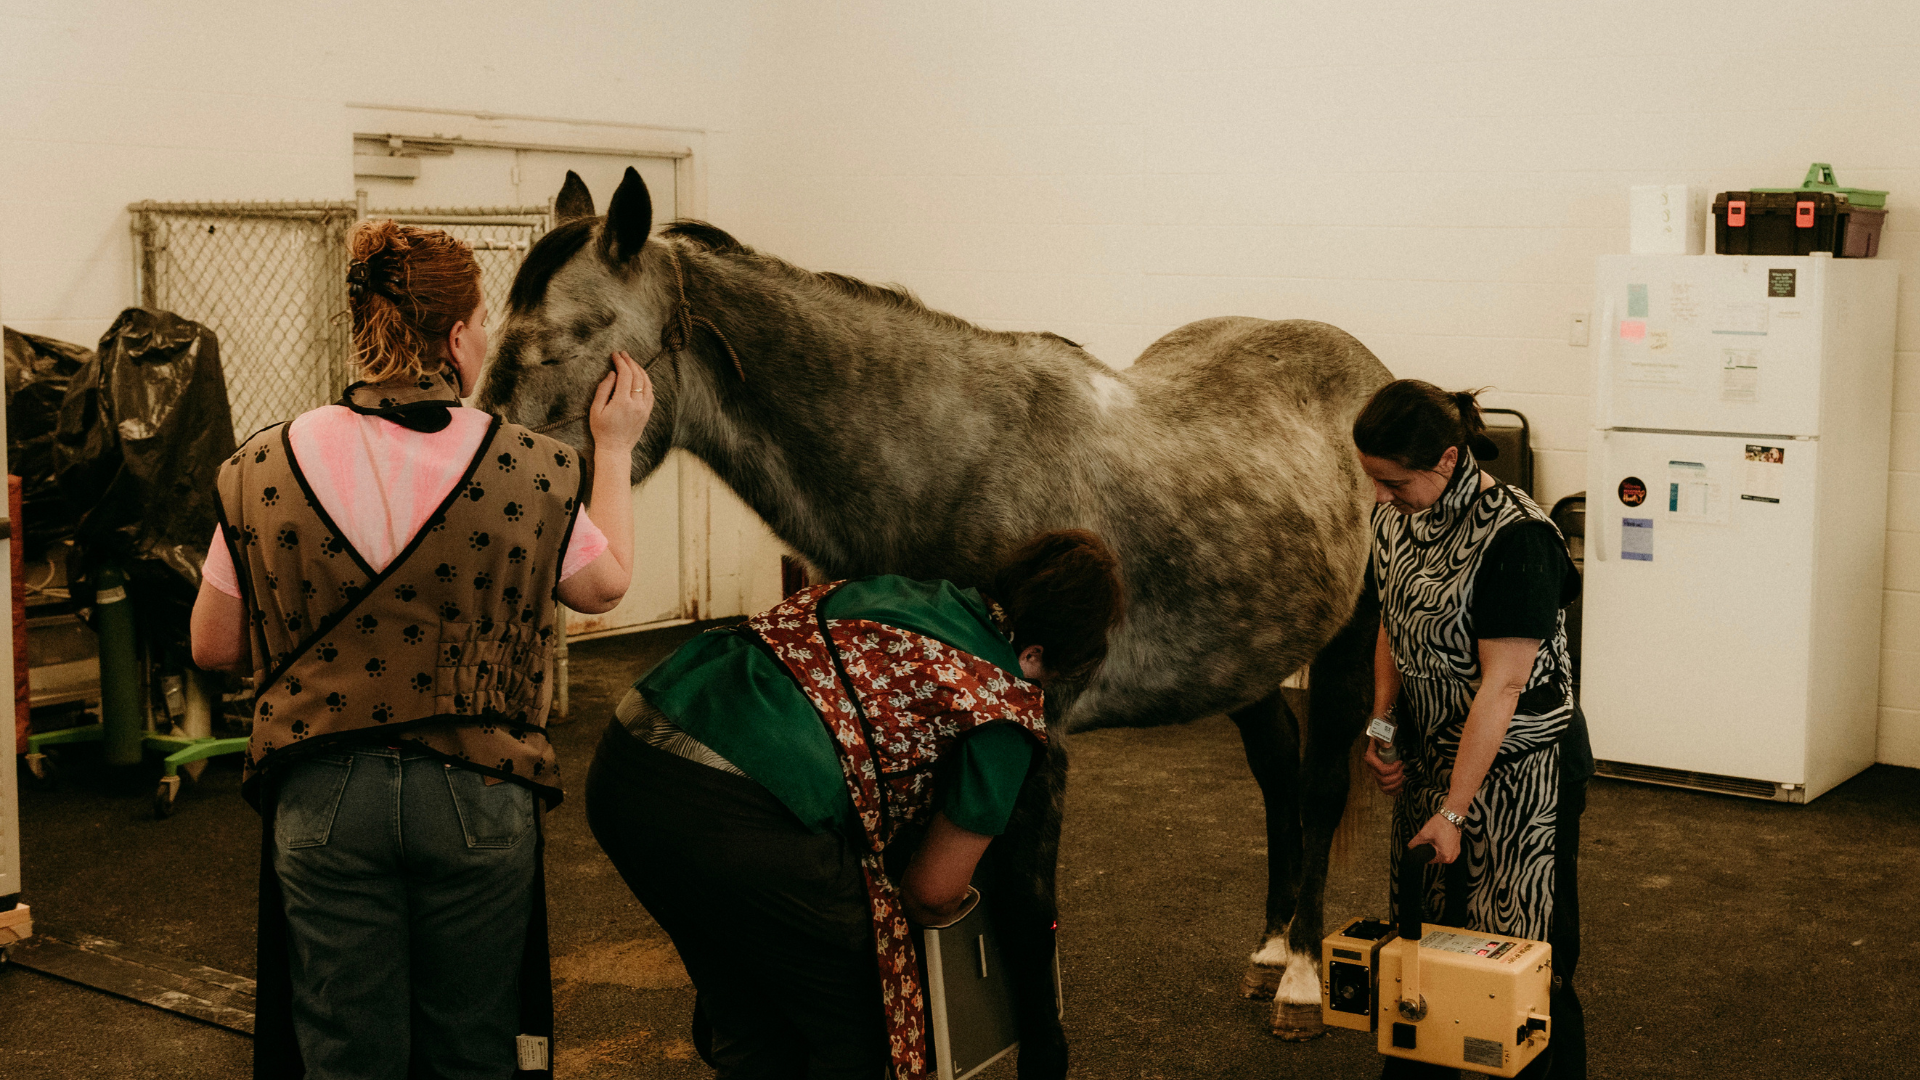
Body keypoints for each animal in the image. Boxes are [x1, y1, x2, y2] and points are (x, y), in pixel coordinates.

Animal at [472, 166, 1390, 1068]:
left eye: (563, 339)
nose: (494, 494)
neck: (951, 454)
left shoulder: (1036, 747)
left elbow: (1028, 931)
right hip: (1243, 655)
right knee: (1276, 767)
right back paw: (1269, 950)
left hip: (1347, 642)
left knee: (1319, 785)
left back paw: (1301, 980)